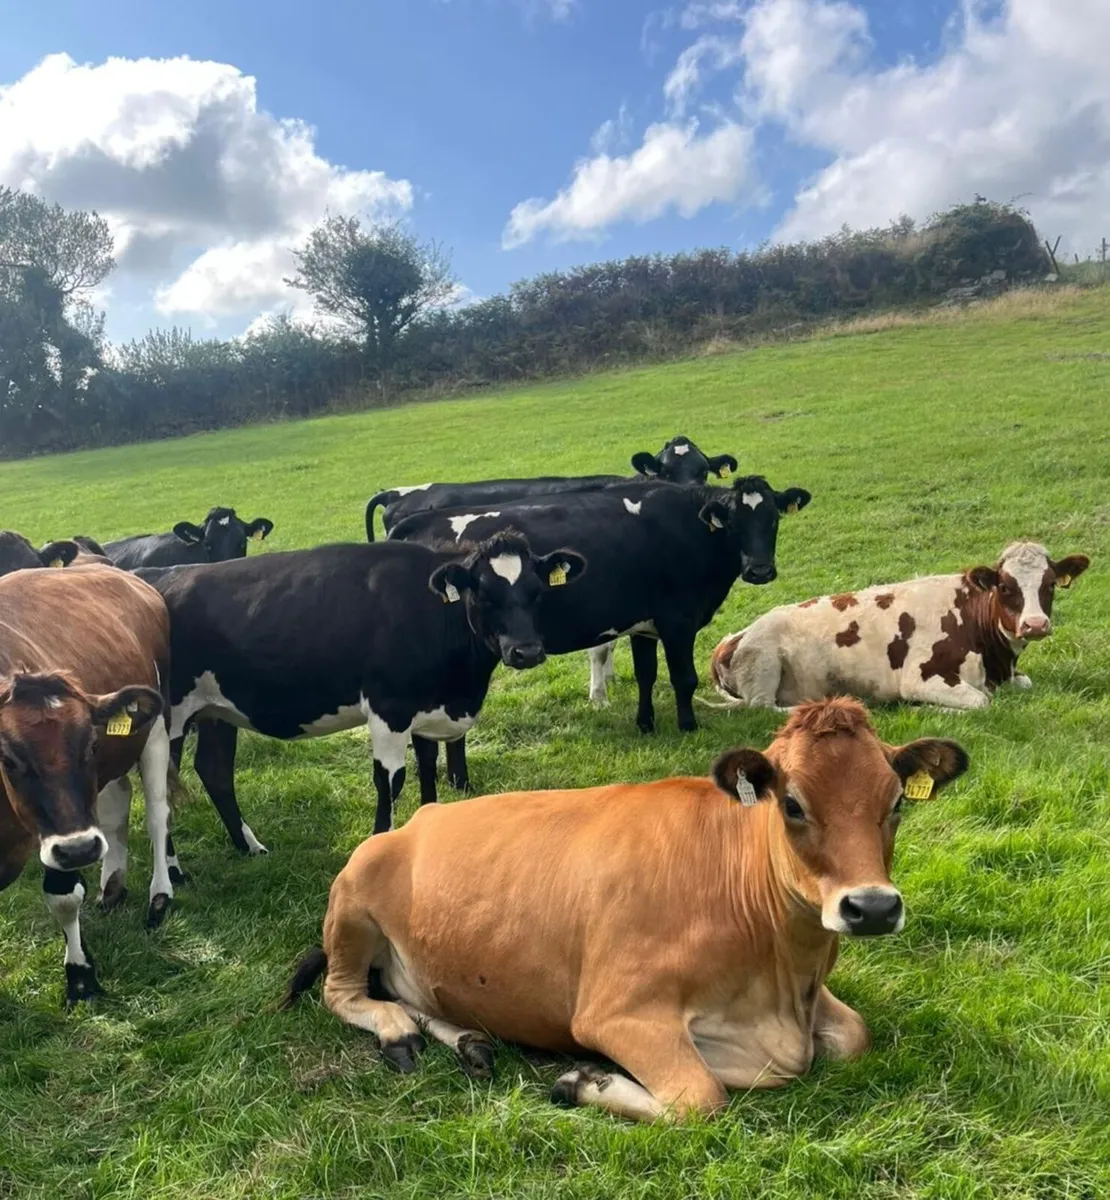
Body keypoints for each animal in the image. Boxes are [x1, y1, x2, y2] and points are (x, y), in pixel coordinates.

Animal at [0, 565, 177, 1003]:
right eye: (7, 757)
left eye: (92, 744)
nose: (80, 848)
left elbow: (63, 898)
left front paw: (80, 976)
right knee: (116, 808)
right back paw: (112, 885)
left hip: (155, 727)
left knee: (157, 814)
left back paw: (160, 895)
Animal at [139, 532, 586, 847]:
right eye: (484, 593)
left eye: (536, 592)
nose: (527, 651)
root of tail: (157, 577)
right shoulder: (389, 708)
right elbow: (390, 780)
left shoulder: (425, 708)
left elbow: (427, 768)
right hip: (169, 716)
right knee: (162, 785)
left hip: (216, 710)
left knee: (214, 770)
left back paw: (249, 846)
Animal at [282, 698, 969, 1122]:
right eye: (793, 804)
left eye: (895, 803)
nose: (871, 907)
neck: (781, 972)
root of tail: (420, 817)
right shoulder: (616, 1014)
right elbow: (701, 1096)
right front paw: (588, 1080)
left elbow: (851, 1036)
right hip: (353, 898)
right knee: (344, 992)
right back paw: (396, 1029)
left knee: (419, 998)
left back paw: (470, 1040)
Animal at [387, 476, 811, 792]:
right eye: (734, 523)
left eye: (773, 519)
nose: (759, 570)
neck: (687, 527)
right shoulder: (677, 622)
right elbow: (683, 678)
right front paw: (688, 726)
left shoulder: (644, 625)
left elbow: (646, 674)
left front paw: (646, 725)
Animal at [709, 541, 1091, 712]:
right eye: (1006, 587)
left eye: (1050, 584)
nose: (1035, 624)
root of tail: (732, 638)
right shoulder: (920, 677)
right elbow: (981, 701)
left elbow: (1024, 683)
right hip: (763, 664)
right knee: (763, 707)